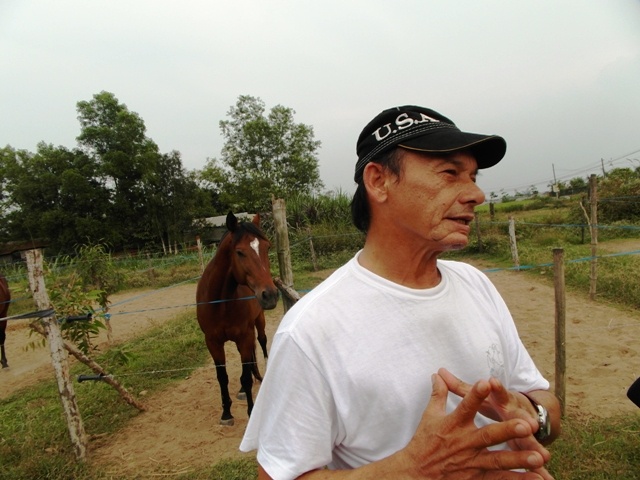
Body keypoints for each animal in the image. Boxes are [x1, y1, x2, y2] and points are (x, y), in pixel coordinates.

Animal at [196, 212, 279, 425]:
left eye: (267, 247)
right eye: (240, 252)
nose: (270, 294)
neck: (220, 302)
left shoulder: (244, 335)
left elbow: (246, 377)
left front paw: (250, 410)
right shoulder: (213, 342)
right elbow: (222, 377)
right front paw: (226, 413)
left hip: (258, 322)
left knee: (262, 343)